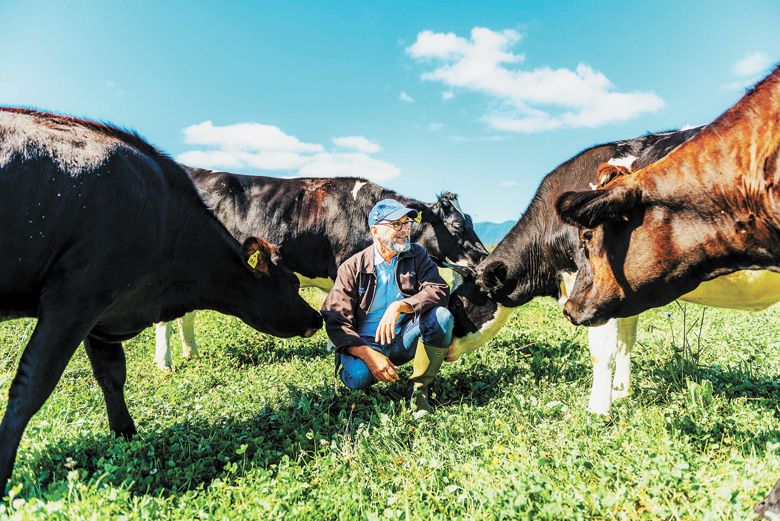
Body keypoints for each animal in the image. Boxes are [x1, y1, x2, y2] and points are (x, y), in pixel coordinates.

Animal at [0, 108, 322, 496]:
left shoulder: (103, 315)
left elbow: (111, 376)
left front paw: (125, 434)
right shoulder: (75, 299)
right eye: (292, 283)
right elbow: (30, 387)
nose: (317, 318)